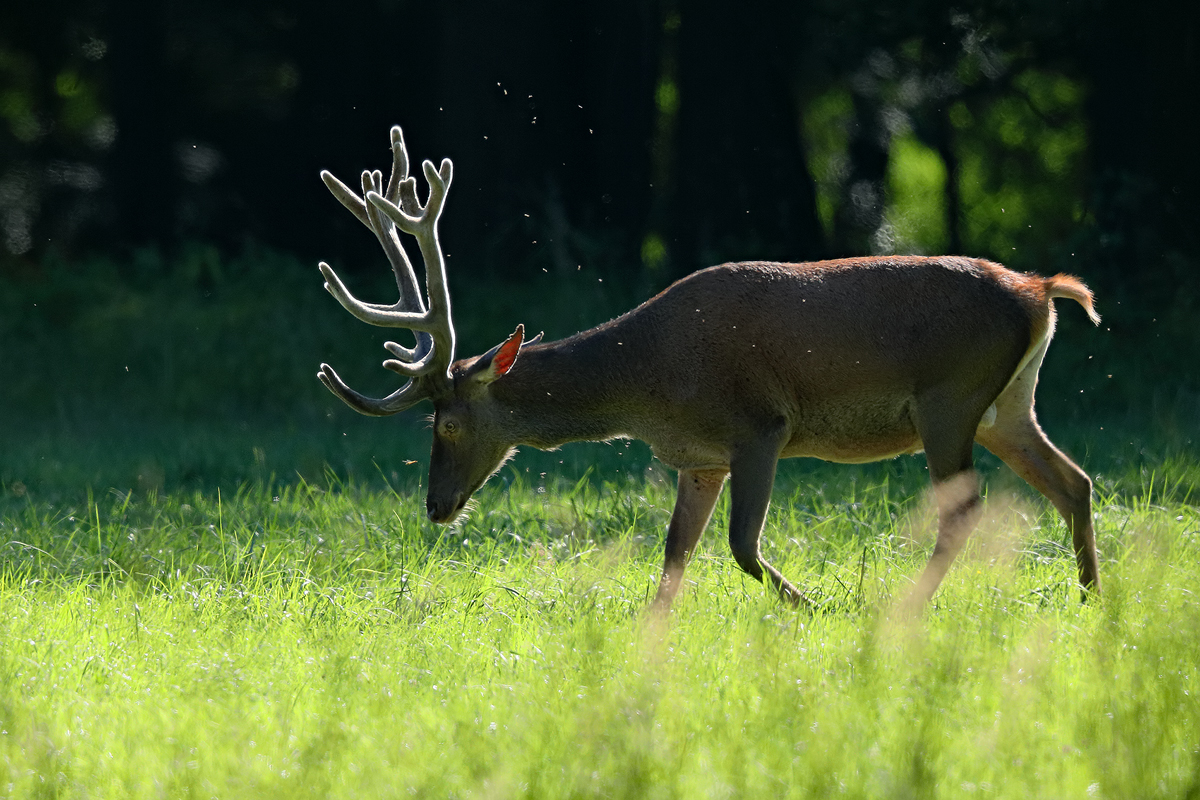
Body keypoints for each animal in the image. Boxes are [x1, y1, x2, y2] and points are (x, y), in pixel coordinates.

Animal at [314, 126, 1099, 614]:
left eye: (445, 423)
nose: (435, 506)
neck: (648, 383)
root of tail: (1039, 291)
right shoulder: (698, 459)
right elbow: (672, 559)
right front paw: (650, 640)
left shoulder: (760, 425)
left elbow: (742, 547)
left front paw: (815, 606)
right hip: (1007, 405)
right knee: (1074, 482)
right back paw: (1093, 597)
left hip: (949, 396)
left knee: (966, 507)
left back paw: (904, 608)